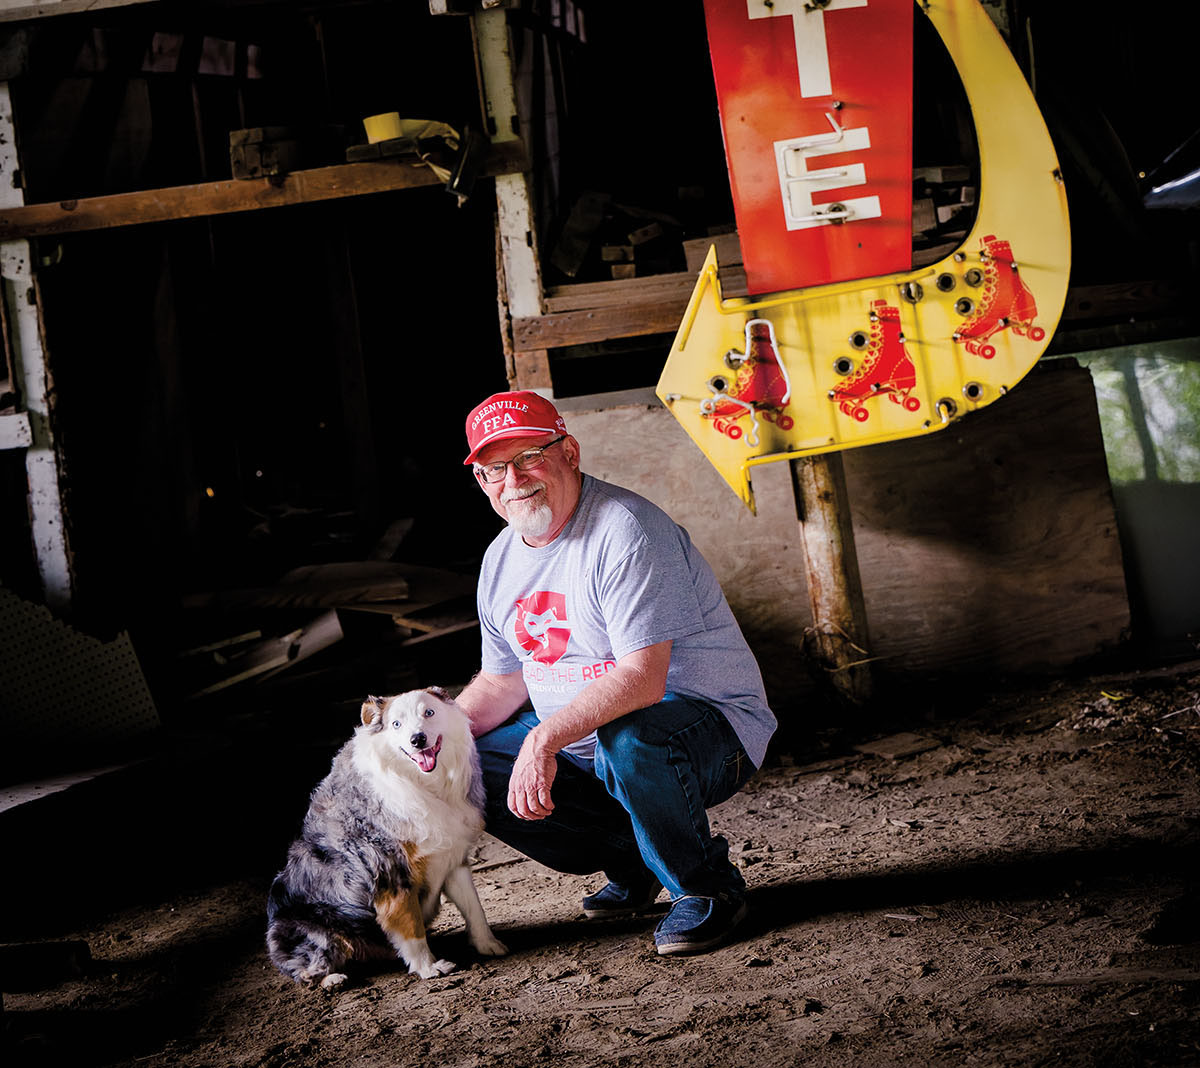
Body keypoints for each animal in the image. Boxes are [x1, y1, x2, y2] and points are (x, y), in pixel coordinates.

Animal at [265, 686, 508, 988]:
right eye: (396, 724)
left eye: (429, 712)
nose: (418, 739)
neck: (423, 783)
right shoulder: (390, 875)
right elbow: (412, 927)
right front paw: (428, 968)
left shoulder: (453, 859)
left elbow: (475, 908)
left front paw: (488, 944)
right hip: (317, 929)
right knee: (306, 969)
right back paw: (332, 979)